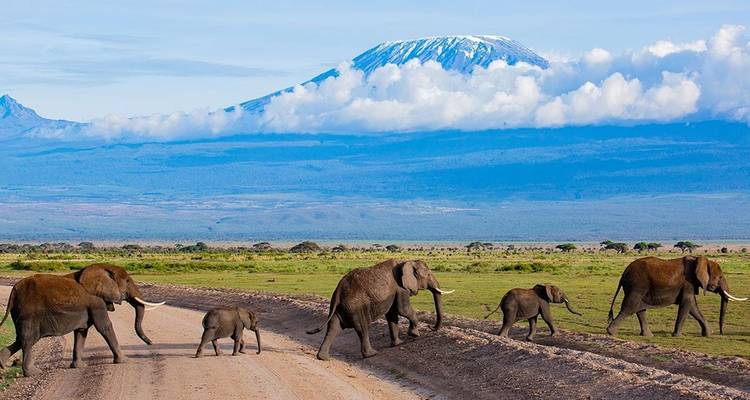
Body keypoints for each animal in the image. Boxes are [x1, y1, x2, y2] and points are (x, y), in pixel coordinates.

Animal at [0, 263, 165, 376]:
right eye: (128, 281)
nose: (151, 343)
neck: (102, 267)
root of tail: (14, 290)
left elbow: (81, 331)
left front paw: (79, 367)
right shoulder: (96, 301)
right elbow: (104, 326)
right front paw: (124, 361)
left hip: (20, 313)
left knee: (21, 339)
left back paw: (2, 365)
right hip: (29, 313)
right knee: (28, 340)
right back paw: (33, 373)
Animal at [306, 259, 454, 360]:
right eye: (428, 274)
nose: (431, 327)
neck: (406, 261)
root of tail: (338, 290)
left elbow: (392, 315)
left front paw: (398, 343)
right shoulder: (401, 288)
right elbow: (403, 310)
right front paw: (415, 335)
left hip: (341, 306)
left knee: (333, 328)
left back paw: (323, 358)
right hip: (356, 306)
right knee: (363, 328)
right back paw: (372, 354)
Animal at [607, 256, 747, 337]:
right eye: (721, 277)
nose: (721, 333)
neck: (700, 260)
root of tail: (624, 273)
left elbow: (693, 307)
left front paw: (708, 334)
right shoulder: (688, 282)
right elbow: (687, 304)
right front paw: (677, 335)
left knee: (640, 309)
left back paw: (648, 336)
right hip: (637, 285)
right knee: (630, 306)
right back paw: (611, 332)